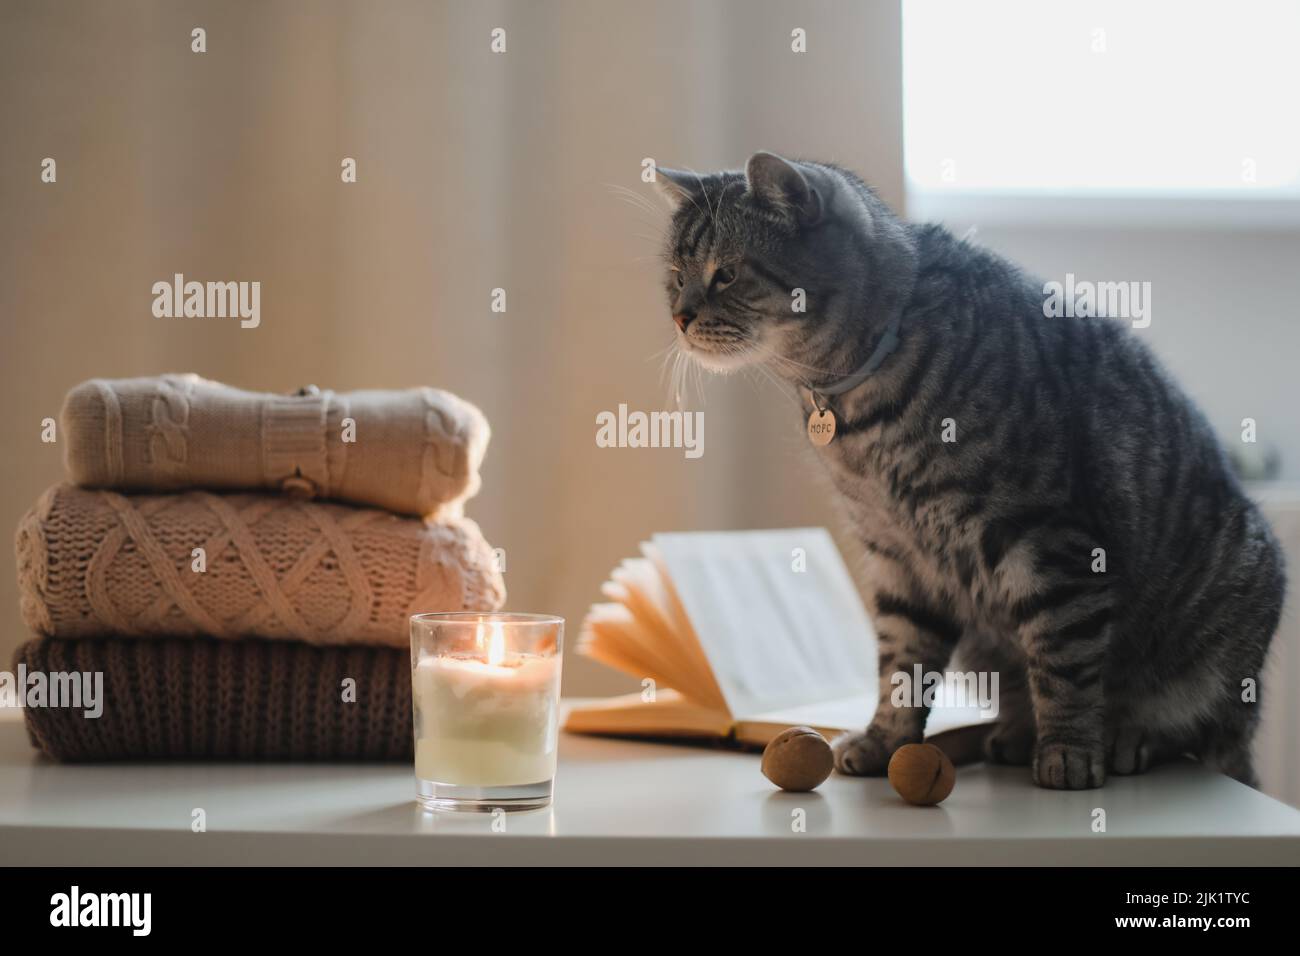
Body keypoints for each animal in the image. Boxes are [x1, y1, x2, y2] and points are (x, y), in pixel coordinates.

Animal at [655, 151, 1284, 790]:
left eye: (727, 274)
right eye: (677, 276)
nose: (678, 316)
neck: (855, 408)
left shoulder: (1047, 540)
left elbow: (1063, 664)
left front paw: (1068, 751)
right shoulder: (897, 558)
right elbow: (901, 665)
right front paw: (885, 739)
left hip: (1229, 621)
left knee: (1199, 731)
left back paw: (1129, 737)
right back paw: (1014, 732)